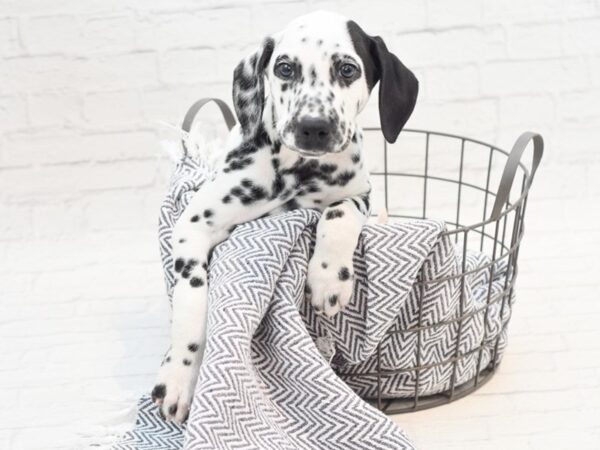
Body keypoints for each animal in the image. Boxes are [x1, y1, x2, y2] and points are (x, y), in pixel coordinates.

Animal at [152, 10, 420, 422]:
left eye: (347, 69)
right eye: (284, 68)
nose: (313, 126)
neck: (299, 171)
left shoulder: (358, 194)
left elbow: (339, 217)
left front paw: (328, 279)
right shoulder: (194, 224)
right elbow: (191, 301)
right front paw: (180, 377)